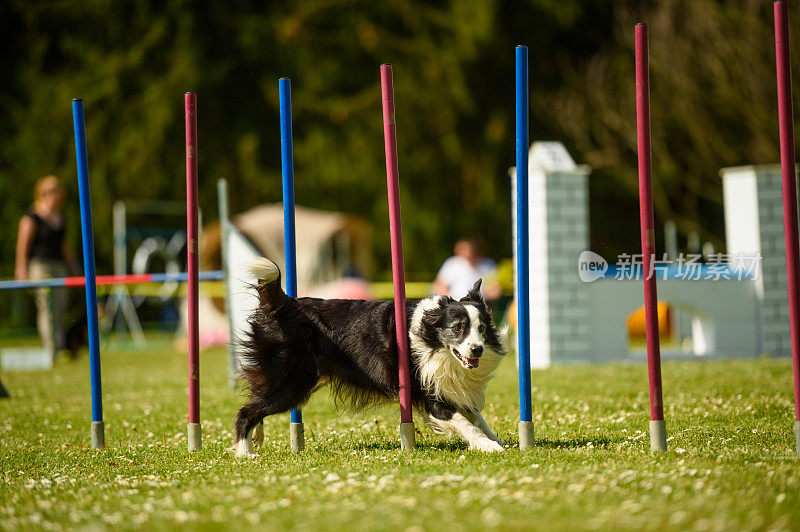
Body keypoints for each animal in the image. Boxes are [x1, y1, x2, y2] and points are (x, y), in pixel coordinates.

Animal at [233, 256, 506, 454]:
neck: (431, 340)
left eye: (482, 328)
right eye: (457, 328)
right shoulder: (429, 395)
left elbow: (477, 418)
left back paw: (256, 438)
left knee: (256, 400)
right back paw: (245, 453)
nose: (478, 349)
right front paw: (488, 446)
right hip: (293, 382)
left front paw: (500, 440)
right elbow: (464, 422)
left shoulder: (449, 385)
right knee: (246, 411)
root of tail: (284, 305)